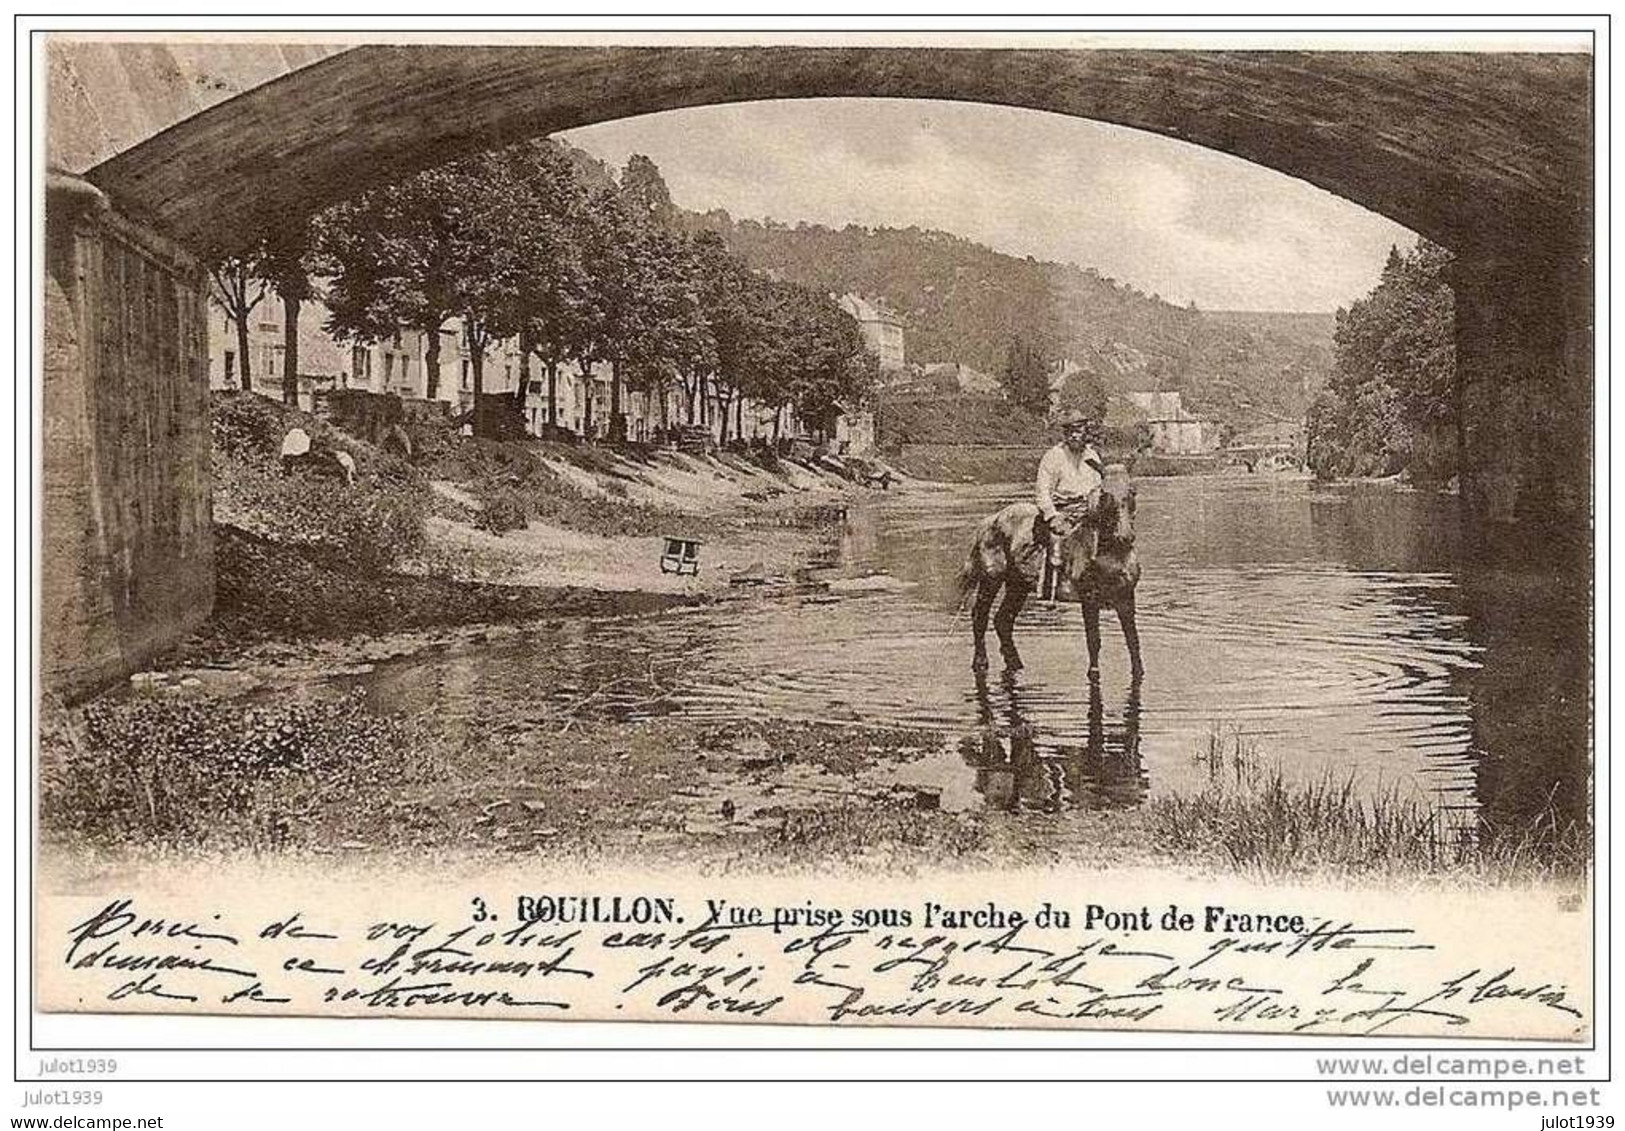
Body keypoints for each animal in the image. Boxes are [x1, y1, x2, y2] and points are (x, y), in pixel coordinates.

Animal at [949, 461, 1144, 676]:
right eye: (1104, 495)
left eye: (1132, 491)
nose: (1125, 536)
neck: (1111, 553)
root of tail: (990, 520)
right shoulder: (1089, 598)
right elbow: (1094, 641)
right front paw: (1093, 674)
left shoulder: (1126, 598)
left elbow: (1133, 641)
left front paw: (1139, 672)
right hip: (991, 580)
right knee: (980, 616)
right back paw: (981, 662)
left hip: (1018, 585)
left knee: (1003, 620)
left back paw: (1015, 664)